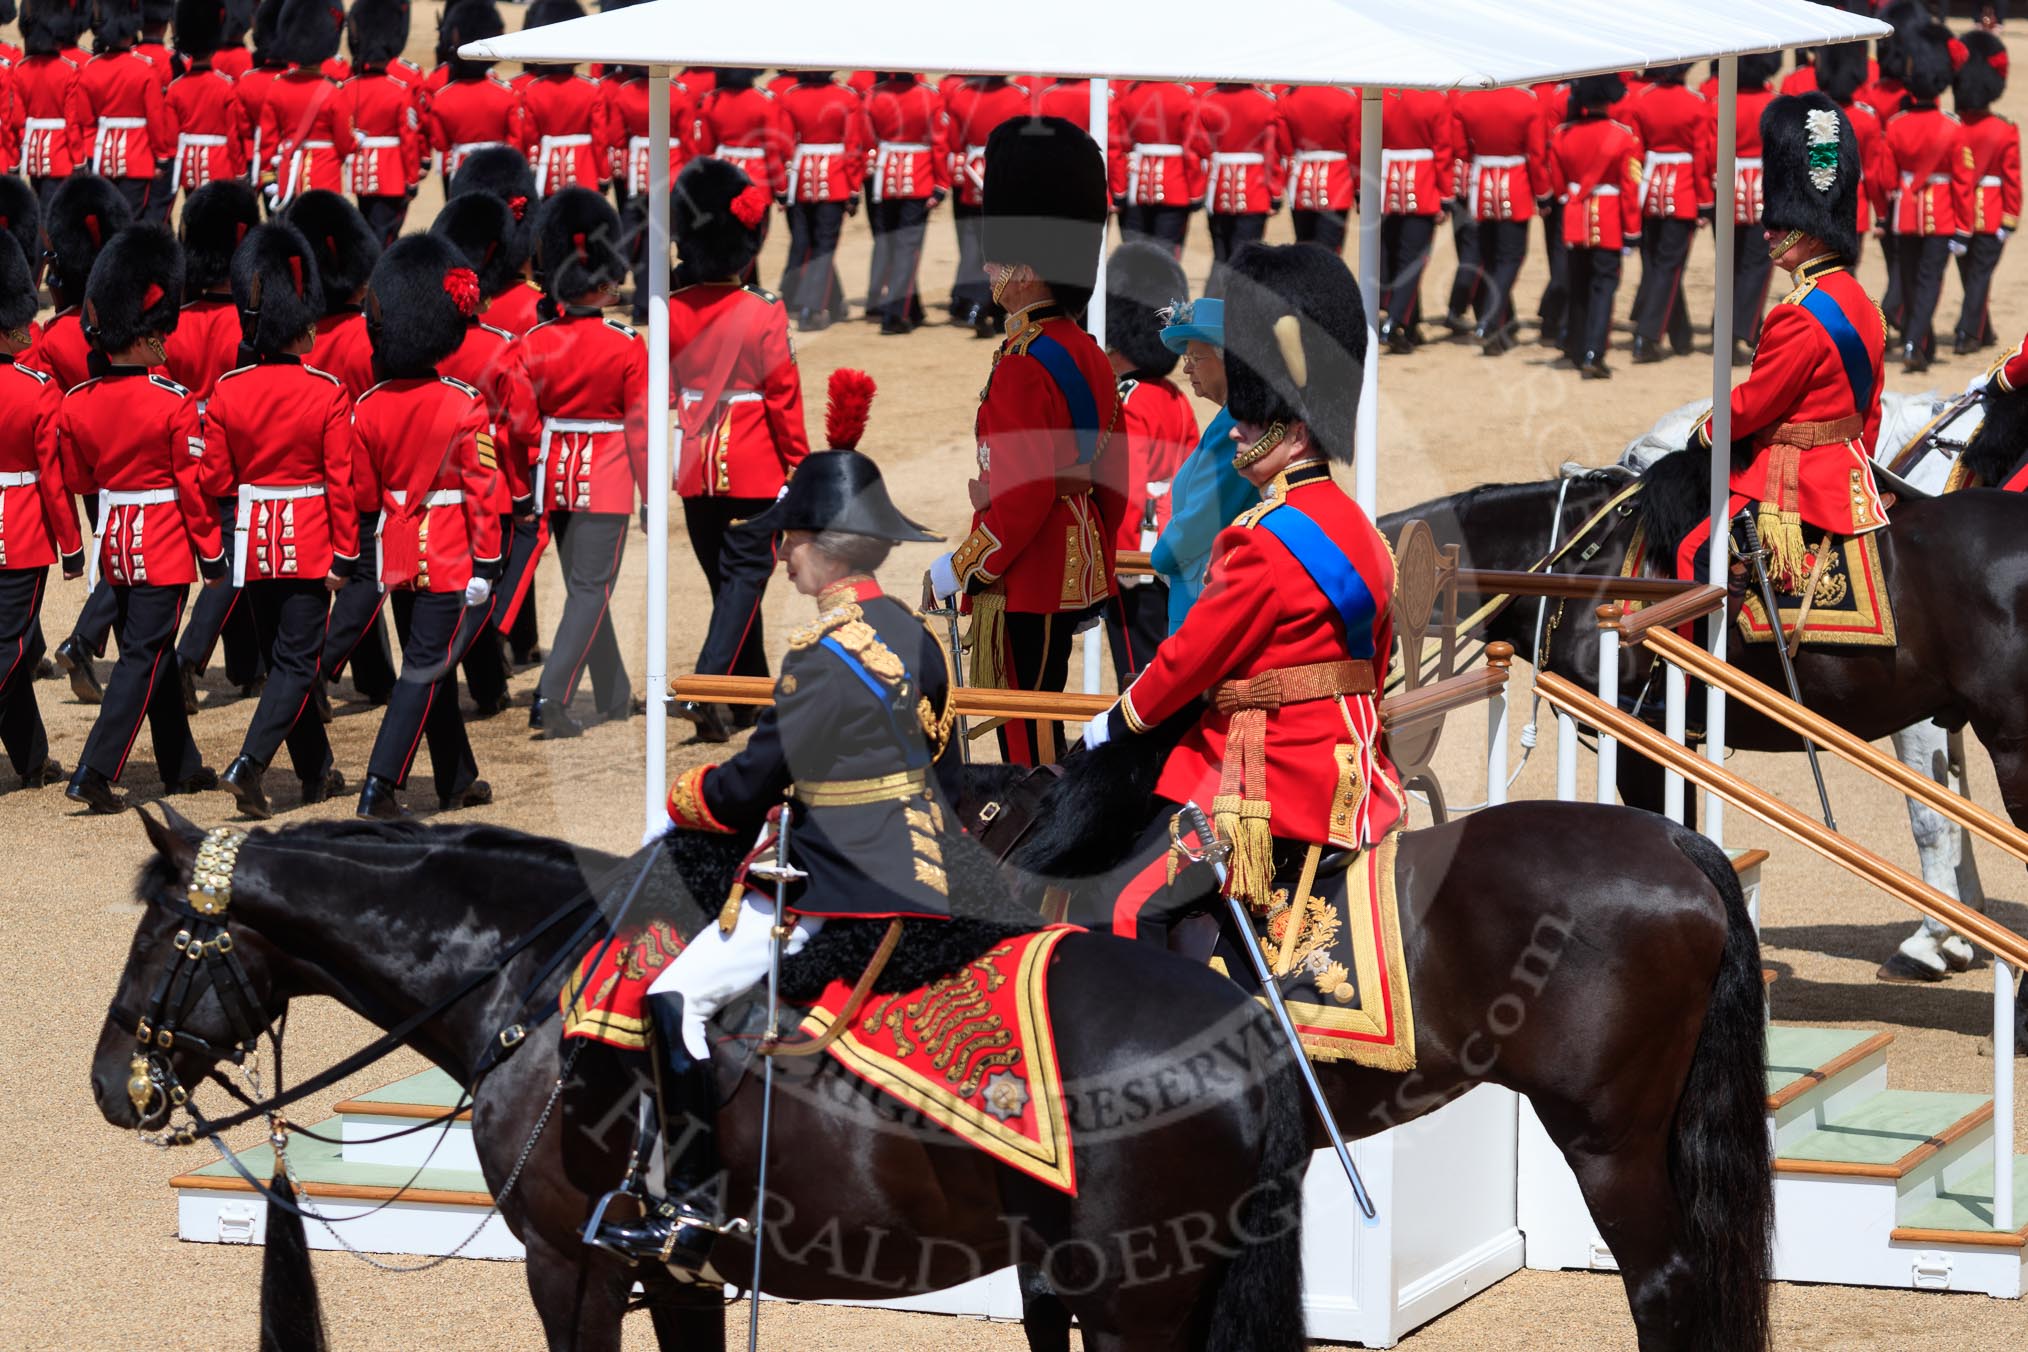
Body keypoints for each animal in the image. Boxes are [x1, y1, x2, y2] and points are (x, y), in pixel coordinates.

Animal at [91, 810, 1297, 1345]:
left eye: (158, 936)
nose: (111, 1082)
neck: (528, 974)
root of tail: (1243, 1023)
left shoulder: (568, 1263)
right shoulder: (678, 1275)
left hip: (1135, 1303)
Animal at [1606, 393, 1987, 985]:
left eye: (1632, 462)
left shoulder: (1922, 717)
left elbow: (1931, 816)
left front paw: (1933, 938)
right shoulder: (1944, 708)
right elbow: (1955, 804)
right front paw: (1962, 926)